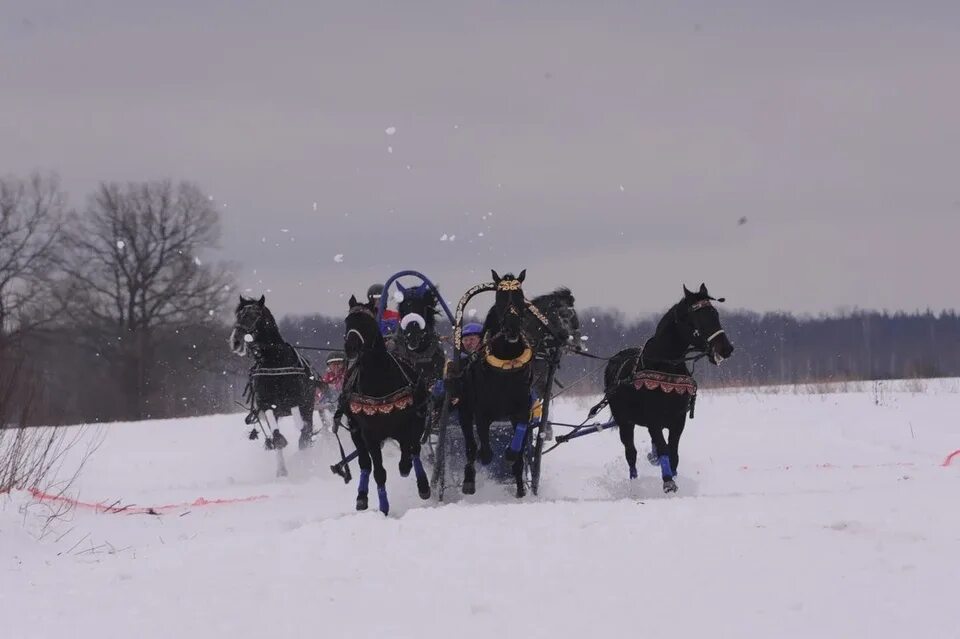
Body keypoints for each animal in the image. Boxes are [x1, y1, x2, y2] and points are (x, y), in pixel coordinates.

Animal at [230, 298, 316, 472]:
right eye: (238, 315)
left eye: (255, 315)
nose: (236, 341)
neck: (274, 362)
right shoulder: (266, 404)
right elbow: (276, 436)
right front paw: (281, 469)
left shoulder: (296, 401)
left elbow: (301, 426)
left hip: (308, 405)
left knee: (307, 426)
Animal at [338, 298, 428, 516]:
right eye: (347, 321)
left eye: (368, 323)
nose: (350, 347)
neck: (378, 381)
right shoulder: (369, 434)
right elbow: (378, 471)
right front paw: (384, 507)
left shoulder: (410, 422)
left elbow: (410, 450)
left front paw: (413, 475)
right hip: (355, 431)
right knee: (364, 463)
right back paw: (362, 497)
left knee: (414, 450)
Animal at [462, 270, 536, 500]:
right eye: (500, 297)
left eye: (520, 296)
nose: (512, 328)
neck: (506, 363)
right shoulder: (481, 412)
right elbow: (484, 451)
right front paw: (483, 455)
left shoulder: (521, 408)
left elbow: (519, 444)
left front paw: (512, 455)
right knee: (470, 446)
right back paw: (469, 480)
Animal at [604, 284, 732, 496]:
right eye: (697, 317)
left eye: (715, 313)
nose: (726, 348)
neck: (665, 365)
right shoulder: (653, 418)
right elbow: (664, 448)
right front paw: (668, 482)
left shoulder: (678, 419)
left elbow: (673, 453)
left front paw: (672, 475)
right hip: (624, 422)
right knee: (631, 453)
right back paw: (635, 486)